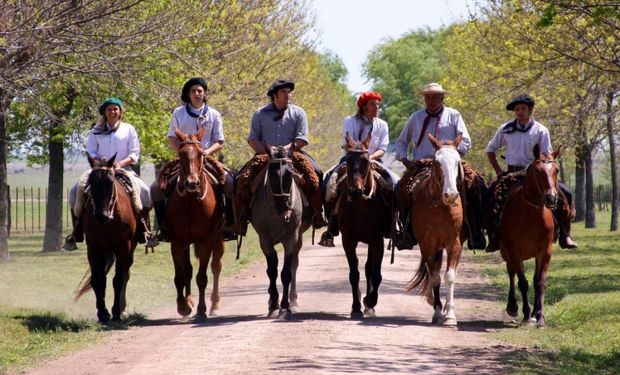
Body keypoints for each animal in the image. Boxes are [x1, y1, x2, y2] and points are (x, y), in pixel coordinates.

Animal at [166, 128, 224, 322]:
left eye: (201, 154)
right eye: (181, 154)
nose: (192, 183)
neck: (191, 202)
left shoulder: (206, 241)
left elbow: (202, 277)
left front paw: (201, 310)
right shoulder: (177, 243)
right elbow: (180, 276)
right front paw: (183, 306)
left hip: (218, 239)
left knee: (216, 267)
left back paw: (215, 305)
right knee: (188, 270)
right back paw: (189, 302)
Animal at [249, 144, 312, 320]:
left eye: (290, 173)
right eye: (271, 172)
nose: (283, 204)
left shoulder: (291, 239)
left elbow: (286, 273)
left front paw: (285, 308)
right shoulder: (264, 240)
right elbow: (271, 271)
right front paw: (274, 306)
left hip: (299, 239)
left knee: (294, 265)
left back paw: (293, 302)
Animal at [336, 134, 390, 318]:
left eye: (366, 160)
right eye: (348, 159)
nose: (356, 192)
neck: (361, 205)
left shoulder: (377, 241)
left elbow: (376, 274)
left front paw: (371, 301)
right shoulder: (348, 241)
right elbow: (354, 274)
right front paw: (355, 307)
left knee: (369, 269)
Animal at [406, 134, 464, 326]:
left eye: (457, 162)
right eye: (437, 162)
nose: (451, 195)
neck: (439, 208)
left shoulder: (454, 244)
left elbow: (449, 276)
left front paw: (450, 314)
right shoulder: (427, 246)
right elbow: (435, 277)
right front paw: (438, 312)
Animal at [498, 144, 560, 328]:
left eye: (557, 170)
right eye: (538, 171)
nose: (551, 198)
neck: (532, 213)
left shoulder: (545, 252)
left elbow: (539, 283)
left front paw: (539, 317)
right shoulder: (515, 252)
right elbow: (522, 282)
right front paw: (526, 315)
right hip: (506, 253)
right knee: (511, 273)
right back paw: (512, 306)